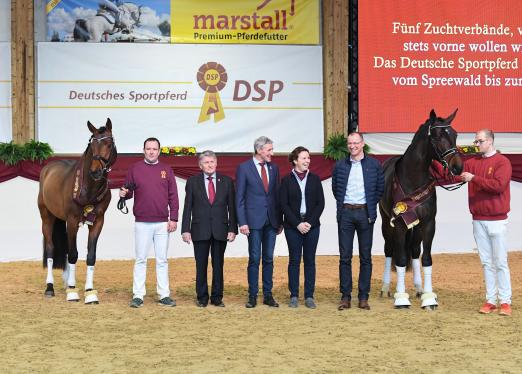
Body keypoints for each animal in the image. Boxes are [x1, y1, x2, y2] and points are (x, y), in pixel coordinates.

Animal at [38, 120, 116, 304]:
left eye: (109, 144)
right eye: (91, 145)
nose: (95, 172)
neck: (89, 189)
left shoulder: (98, 222)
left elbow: (91, 256)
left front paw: (89, 292)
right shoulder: (73, 221)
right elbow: (73, 254)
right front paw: (73, 291)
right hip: (46, 217)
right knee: (51, 250)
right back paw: (50, 287)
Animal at [378, 109, 460, 310]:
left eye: (455, 134)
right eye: (437, 136)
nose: (457, 166)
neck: (413, 179)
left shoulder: (429, 223)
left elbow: (426, 258)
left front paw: (429, 298)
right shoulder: (399, 224)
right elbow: (400, 259)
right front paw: (401, 298)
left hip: (415, 227)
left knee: (415, 251)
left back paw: (418, 288)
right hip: (386, 223)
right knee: (389, 250)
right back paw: (386, 288)